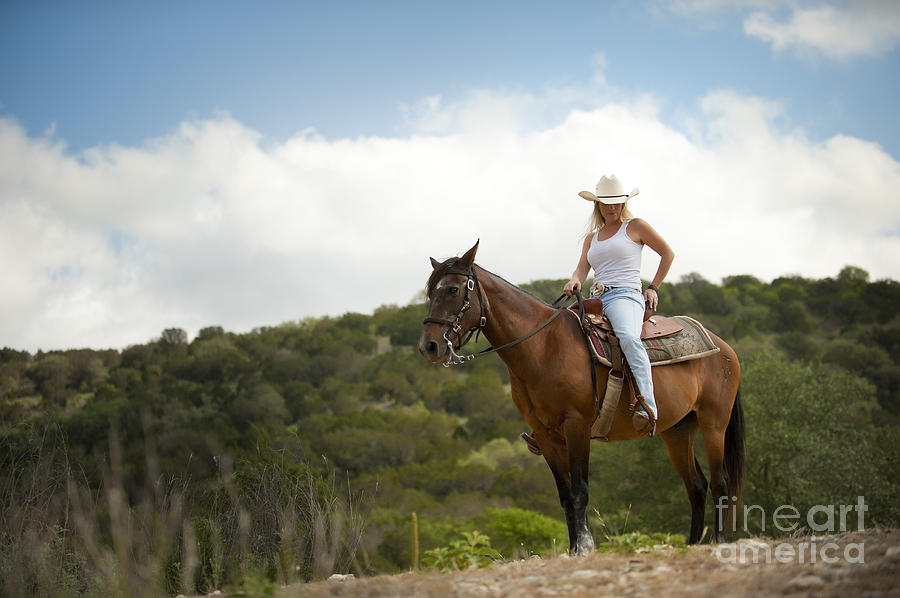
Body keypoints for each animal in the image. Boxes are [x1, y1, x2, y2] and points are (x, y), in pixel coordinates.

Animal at [418, 244, 740, 556]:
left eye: (453, 289)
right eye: (431, 291)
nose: (429, 346)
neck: (544, 346)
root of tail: (722, 346)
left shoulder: (577, 428)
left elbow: (580, 490)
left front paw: (585, 546)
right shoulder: (547, 435)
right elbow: (565, 496)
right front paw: (573, 548)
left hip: (714, 424)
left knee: (719, 481)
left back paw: (718, 540)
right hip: (677, 431)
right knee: (695, 485)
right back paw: (694, 543)